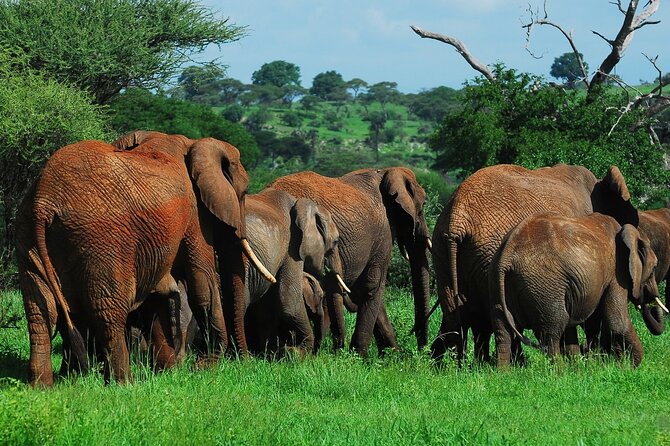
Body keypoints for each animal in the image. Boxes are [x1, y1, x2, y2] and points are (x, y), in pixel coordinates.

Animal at [15, 131, 273, 386]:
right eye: (243, 194)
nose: (246, 363)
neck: (192, 143)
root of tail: (44, 201)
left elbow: (157, 295)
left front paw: (168, 372)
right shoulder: (194, 214)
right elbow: (202, 283)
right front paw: (206, 368)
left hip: (27, 238)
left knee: (40, 312)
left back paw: (41, 386)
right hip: (102, 242)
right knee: (109, 312)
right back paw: (124, 384)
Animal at [270, 167, 431, 355]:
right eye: (424, 205)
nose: (422, 349)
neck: (385, 172)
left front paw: (391, 355)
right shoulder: (383, 233)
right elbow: (372, 285)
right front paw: (361, 356)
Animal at [490, 212, 661, 368]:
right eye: (654, 269)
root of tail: (507, 254)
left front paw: (586, 366)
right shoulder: (616, 273)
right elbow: (617, 322)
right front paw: (629, 367)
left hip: (498, 282)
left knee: (503, 331)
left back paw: (503, 373)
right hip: (544, 285)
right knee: (551, 331)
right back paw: (559, 373)